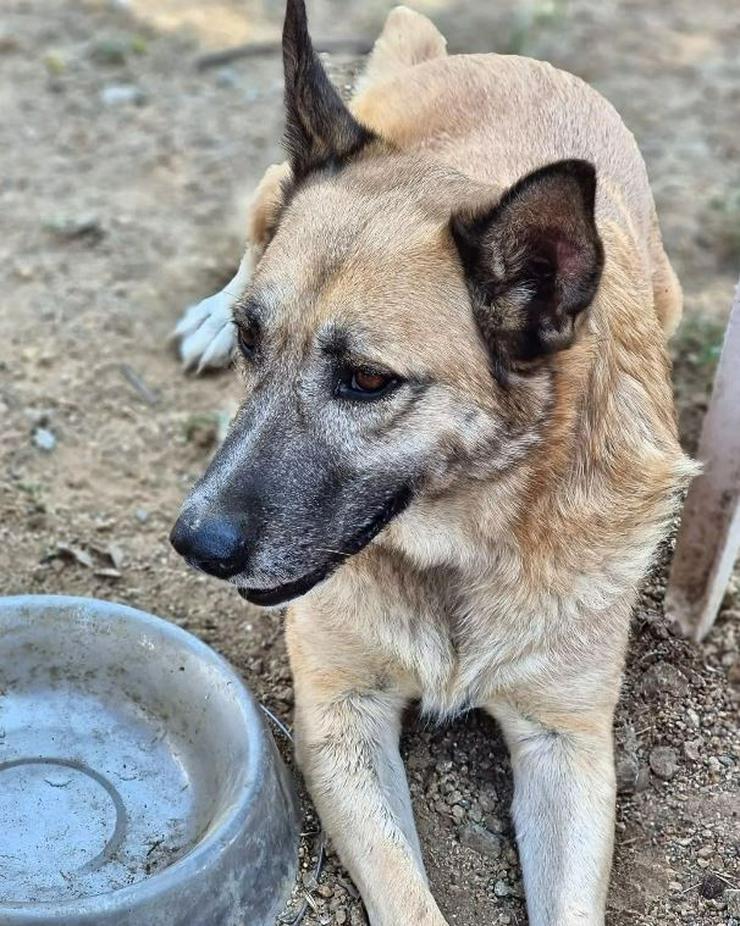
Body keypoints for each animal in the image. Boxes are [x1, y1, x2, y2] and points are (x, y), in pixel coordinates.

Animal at [171, 3, 696, 924]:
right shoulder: (338, 719)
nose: (194, 543)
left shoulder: (569, 749)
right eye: (252, 343)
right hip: (277, 184)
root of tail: (482, 57)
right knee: (258, 218)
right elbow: (409, 900)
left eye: (368, 380)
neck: (462, 550)